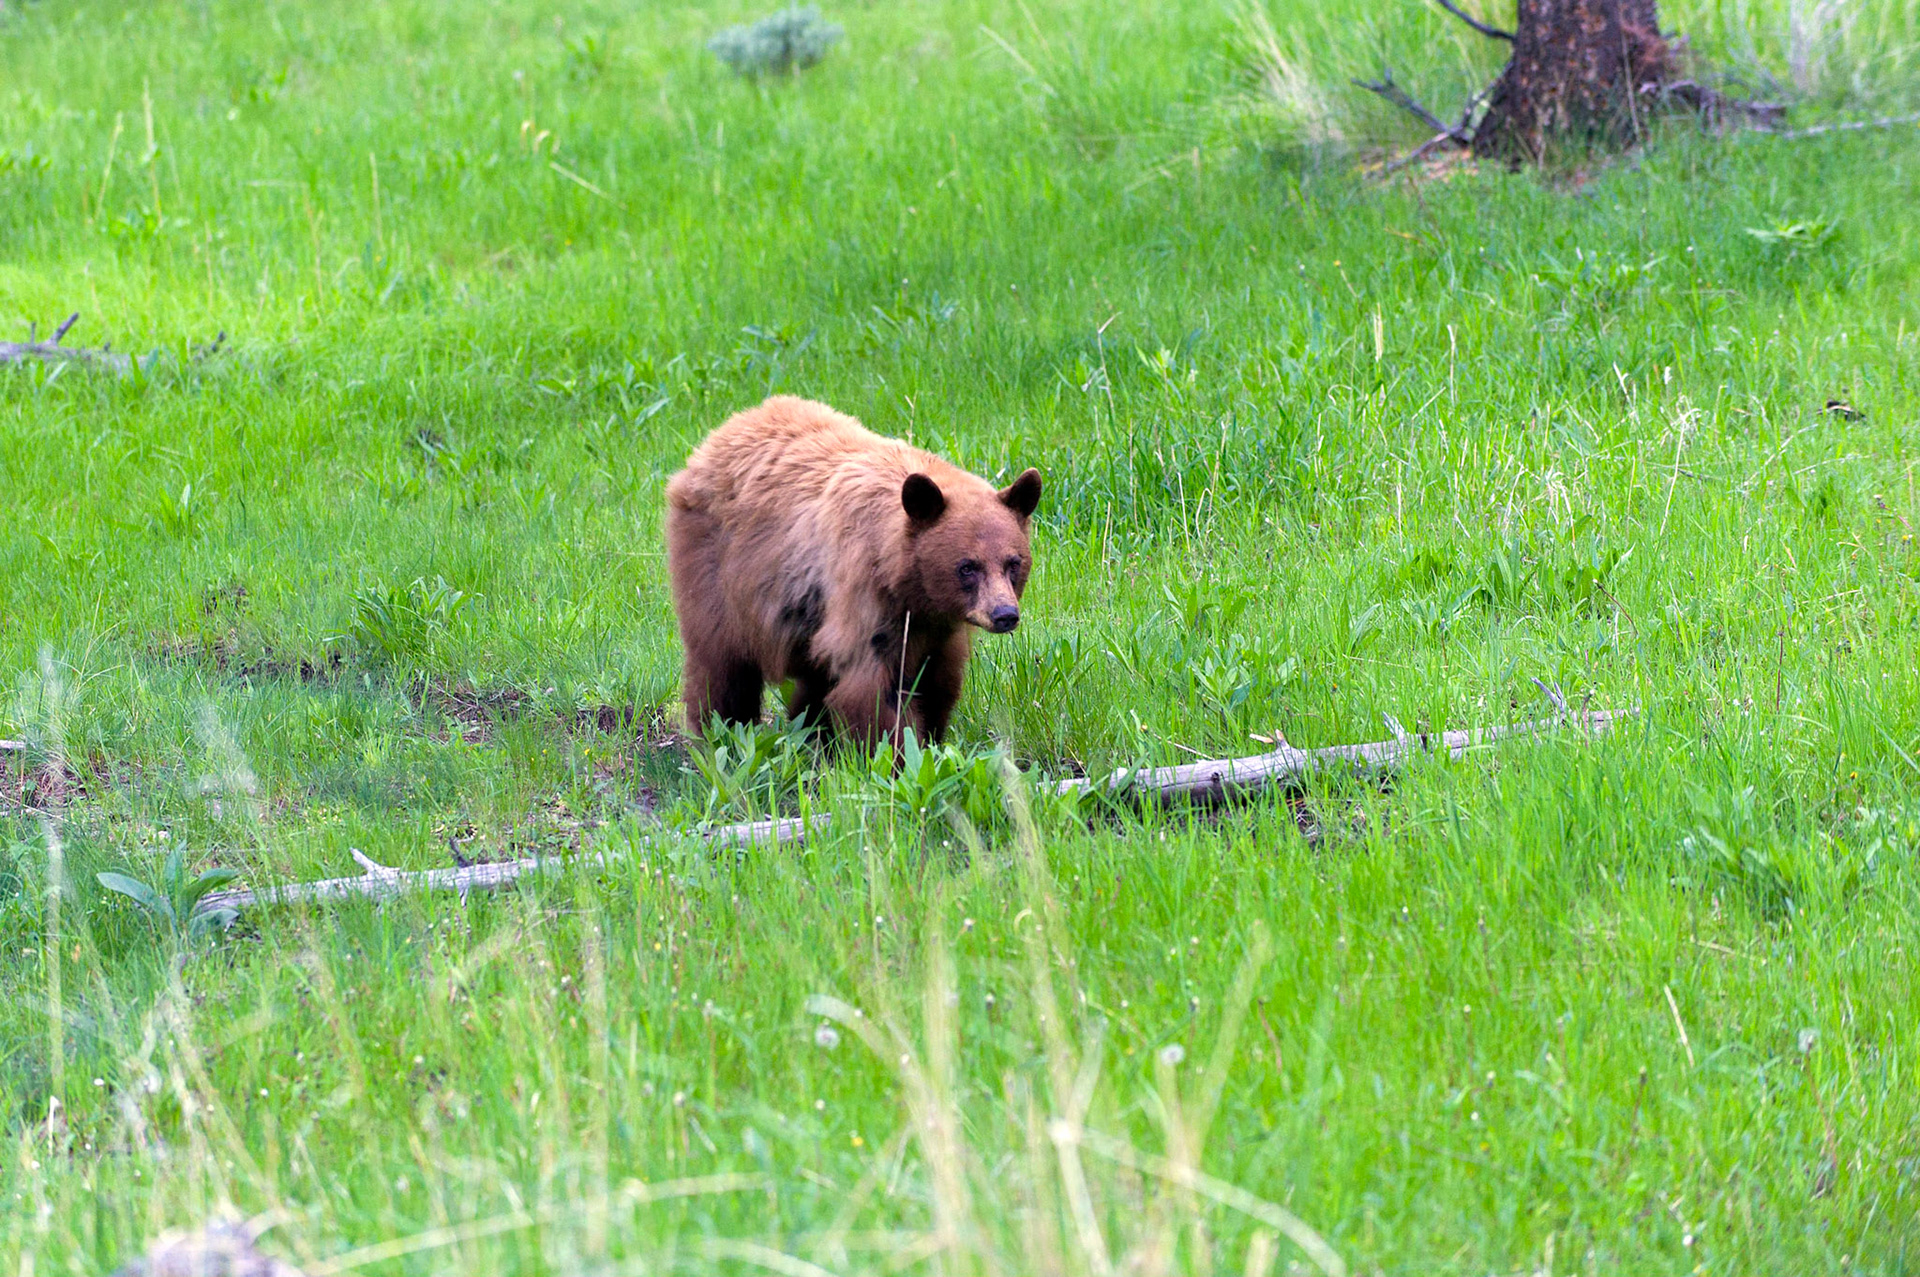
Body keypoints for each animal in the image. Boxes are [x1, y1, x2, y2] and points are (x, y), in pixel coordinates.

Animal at [665, 396, 1042, 747]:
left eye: (1013, 562)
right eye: (967, 567)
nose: (1004, 614)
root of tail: (720, 433)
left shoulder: (936, 629)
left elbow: (938, 684)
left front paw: (932, 741)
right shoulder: (864, 591)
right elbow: (872, 689)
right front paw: (894, 755)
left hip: (806, 608)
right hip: (717, 568)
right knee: (721, 662)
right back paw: (721, 733)